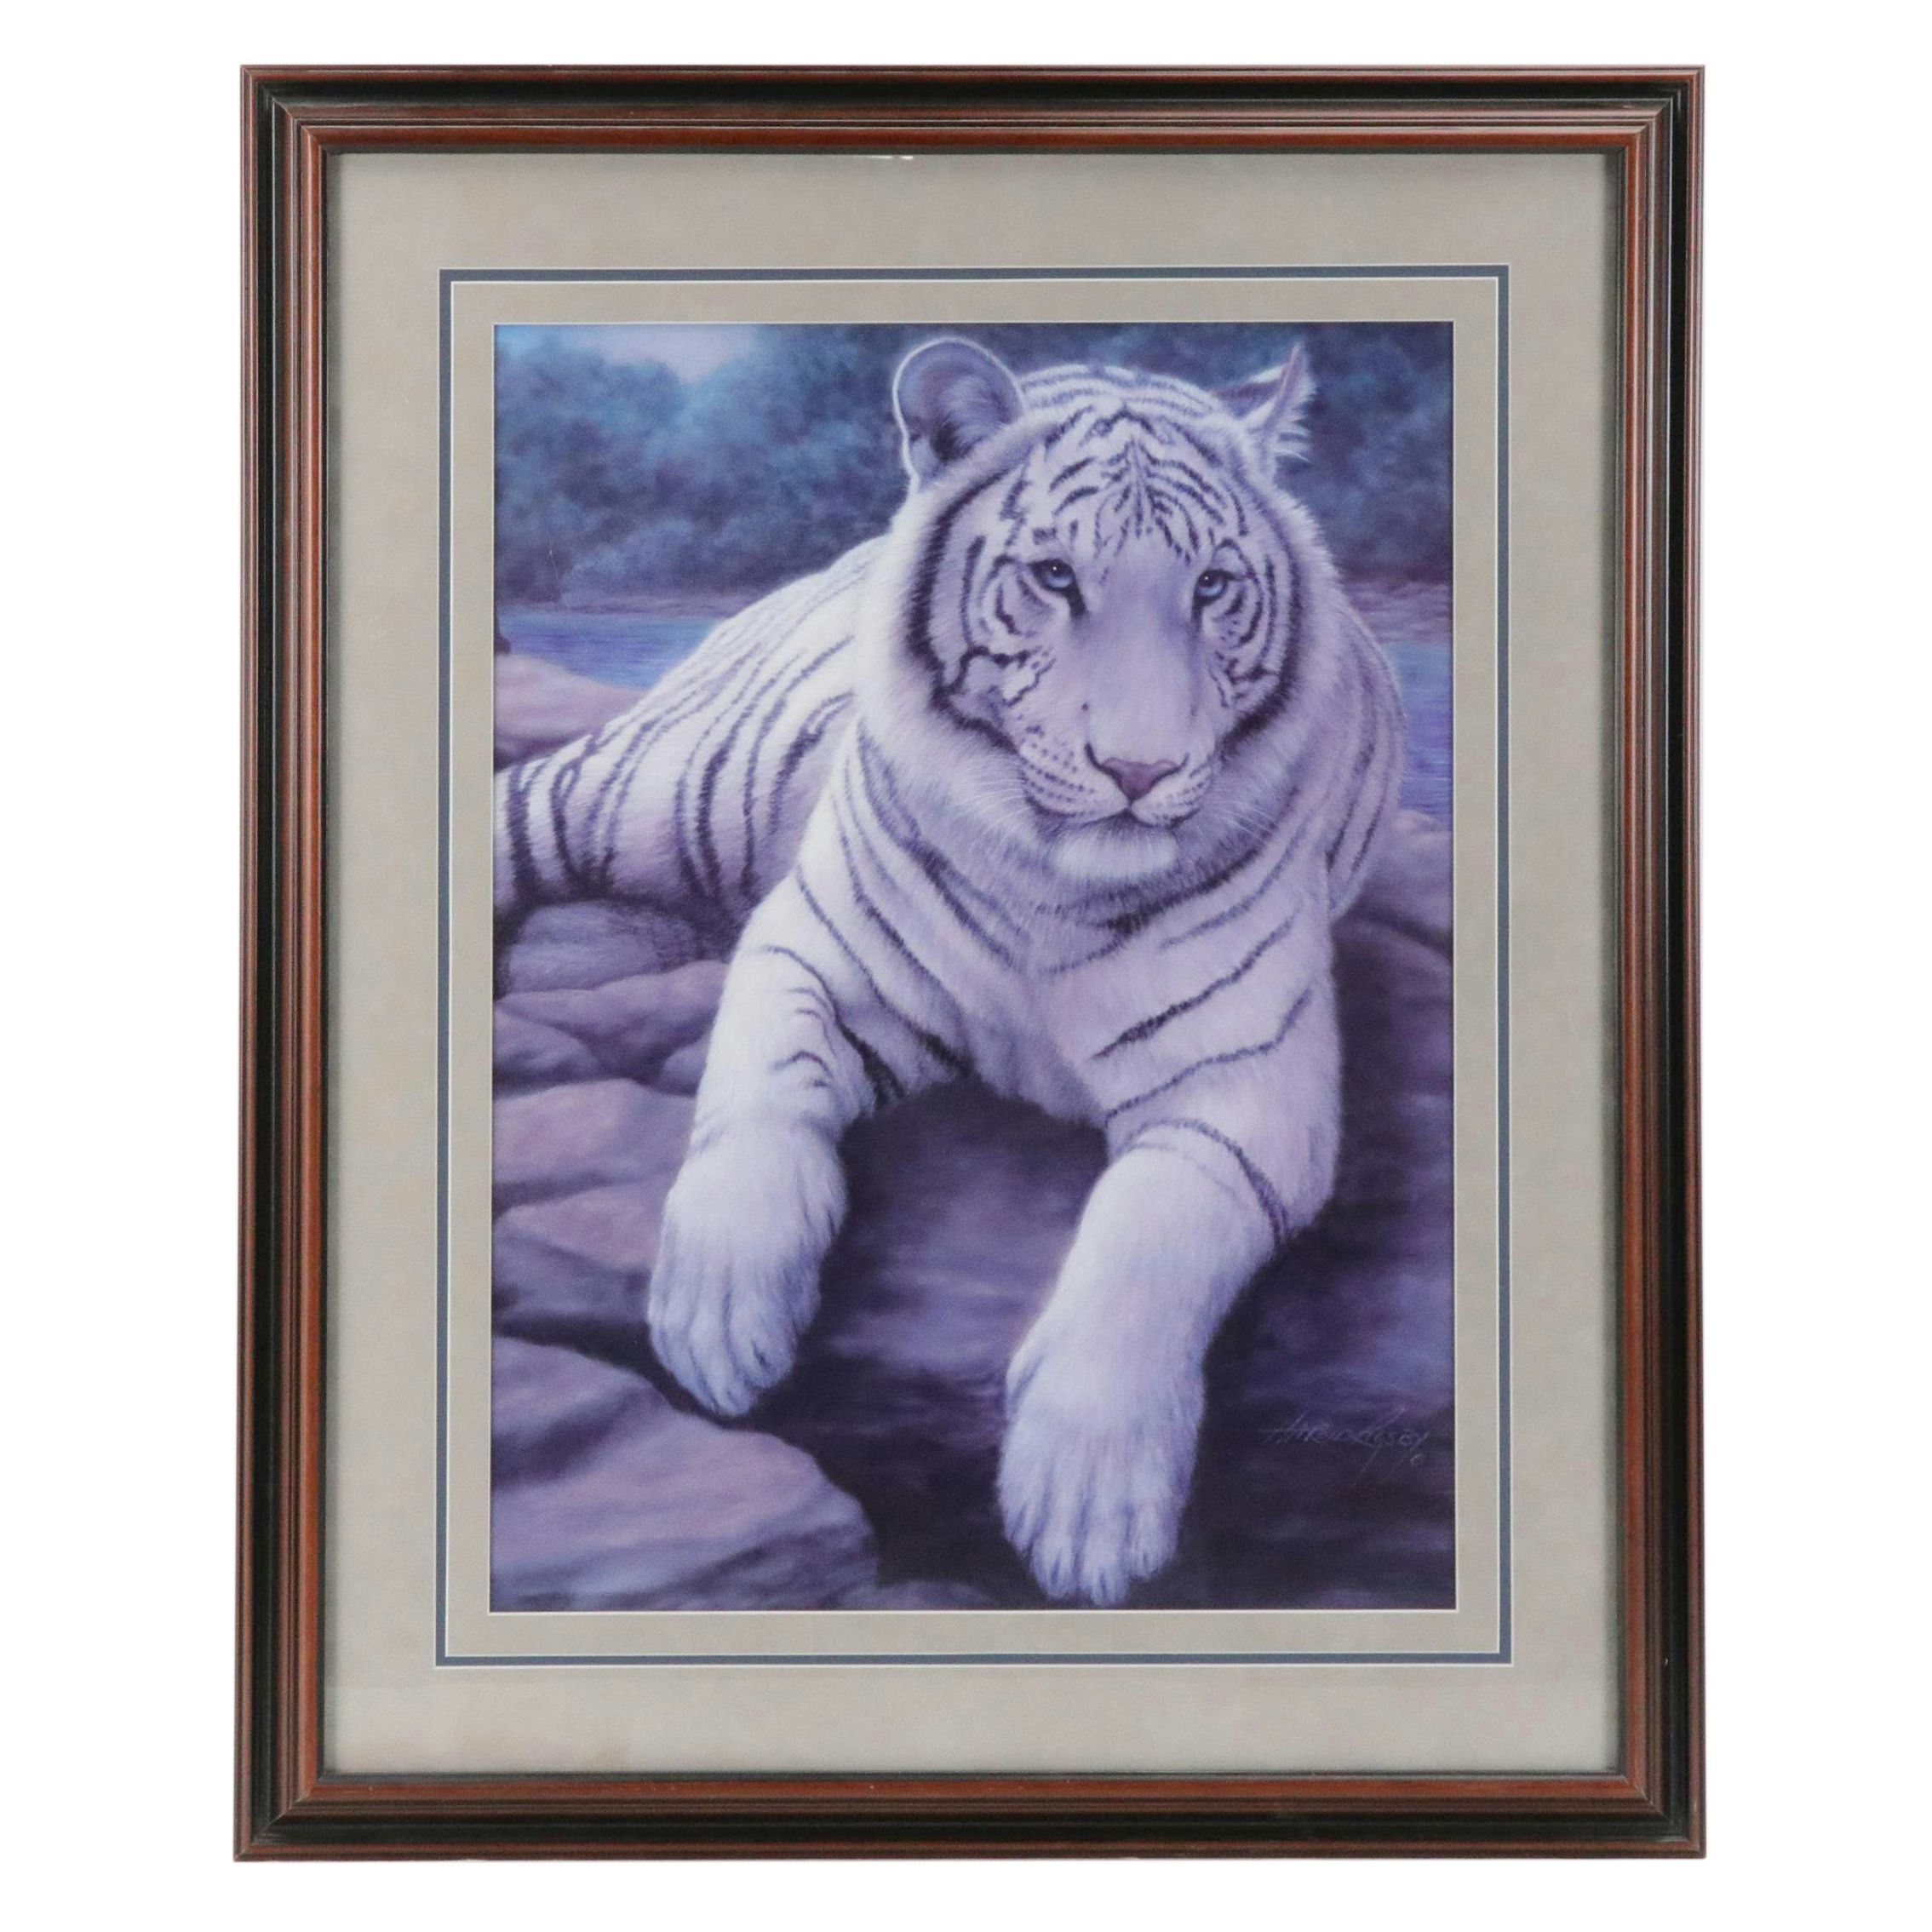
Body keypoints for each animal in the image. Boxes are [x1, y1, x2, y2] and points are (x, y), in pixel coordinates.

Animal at [495, 337, 1406, 1605]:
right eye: (1055, 577)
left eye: (1214, 588)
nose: (1138, 770)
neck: (1053, 888)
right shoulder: (808, 944)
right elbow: (756, 1097)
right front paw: (719, 1317)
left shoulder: (1245, 1082)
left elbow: (1149, 1235)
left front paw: (1085, 1504)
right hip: (647, 792)